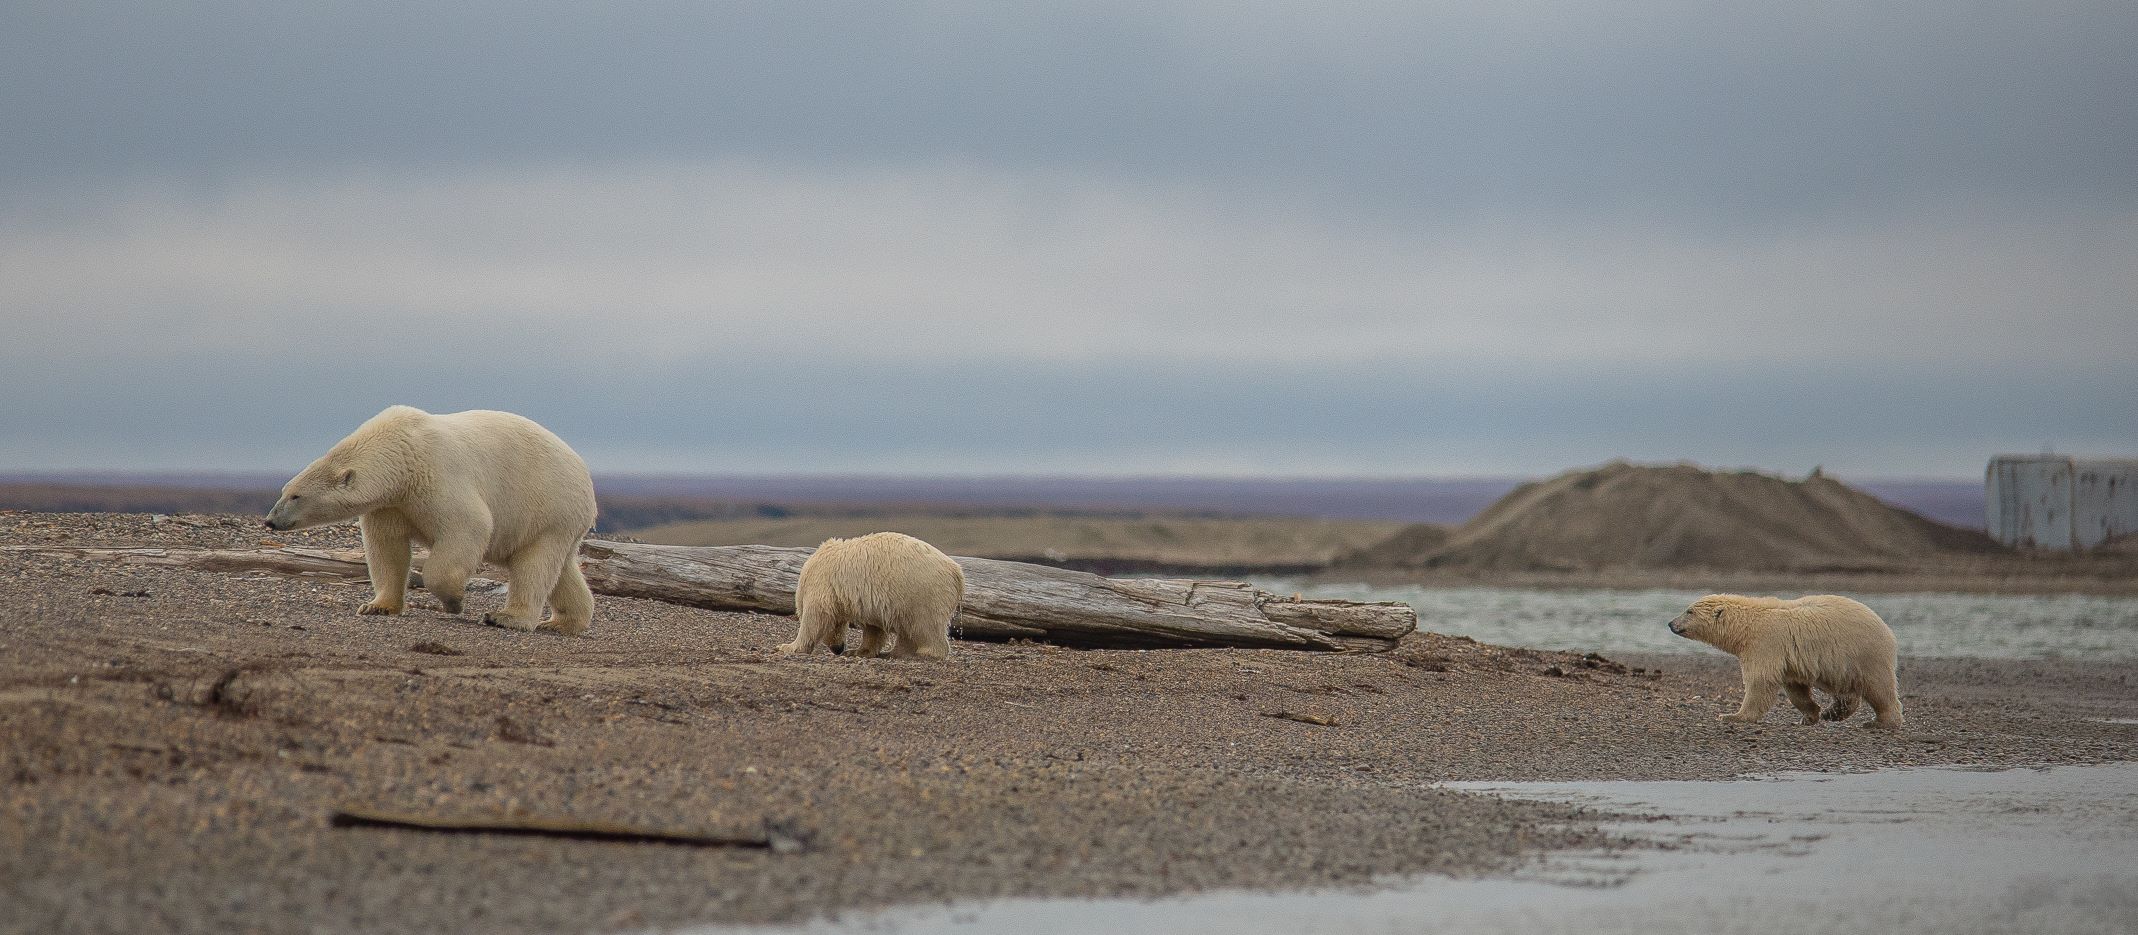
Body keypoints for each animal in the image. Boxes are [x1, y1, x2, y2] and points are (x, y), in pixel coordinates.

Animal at [262, 405, 599, 635]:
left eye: (296, 496)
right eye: (285, 490)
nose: (270, 521)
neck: (402, 454)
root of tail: (584, 474)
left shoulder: (437, 474)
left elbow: (469, 526)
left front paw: (454, 601)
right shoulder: (391, 503)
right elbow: (387, 548)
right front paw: (377, 606)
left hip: (548, 506)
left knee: (535, 565)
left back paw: (507, 618)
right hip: (556, 521)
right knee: (559, 568)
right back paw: (563, 622)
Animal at [778, 532, 964, 660]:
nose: (838, 648)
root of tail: (956, 571)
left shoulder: (822, 583)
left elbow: (816, 616)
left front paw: (787, 647)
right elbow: (873, 627)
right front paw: (858, 651)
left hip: (921, 589)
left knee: (924, 623)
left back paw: (925, 653)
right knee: (907, 627)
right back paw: (894, 653)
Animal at [1668, 594, 1903, 728]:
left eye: (1689, 611)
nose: (1671, 623)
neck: (1747, 627)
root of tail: (1888, 630)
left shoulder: (1765, 644)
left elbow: (1760, 682)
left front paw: (1732, 716)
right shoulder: (1788, 658)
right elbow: (1794, 688)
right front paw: (1810, 715)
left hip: (1863, 653)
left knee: (1878, 688)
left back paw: (1881, 722)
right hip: (1842, 661)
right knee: (1845, 687)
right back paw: (1833, 712)